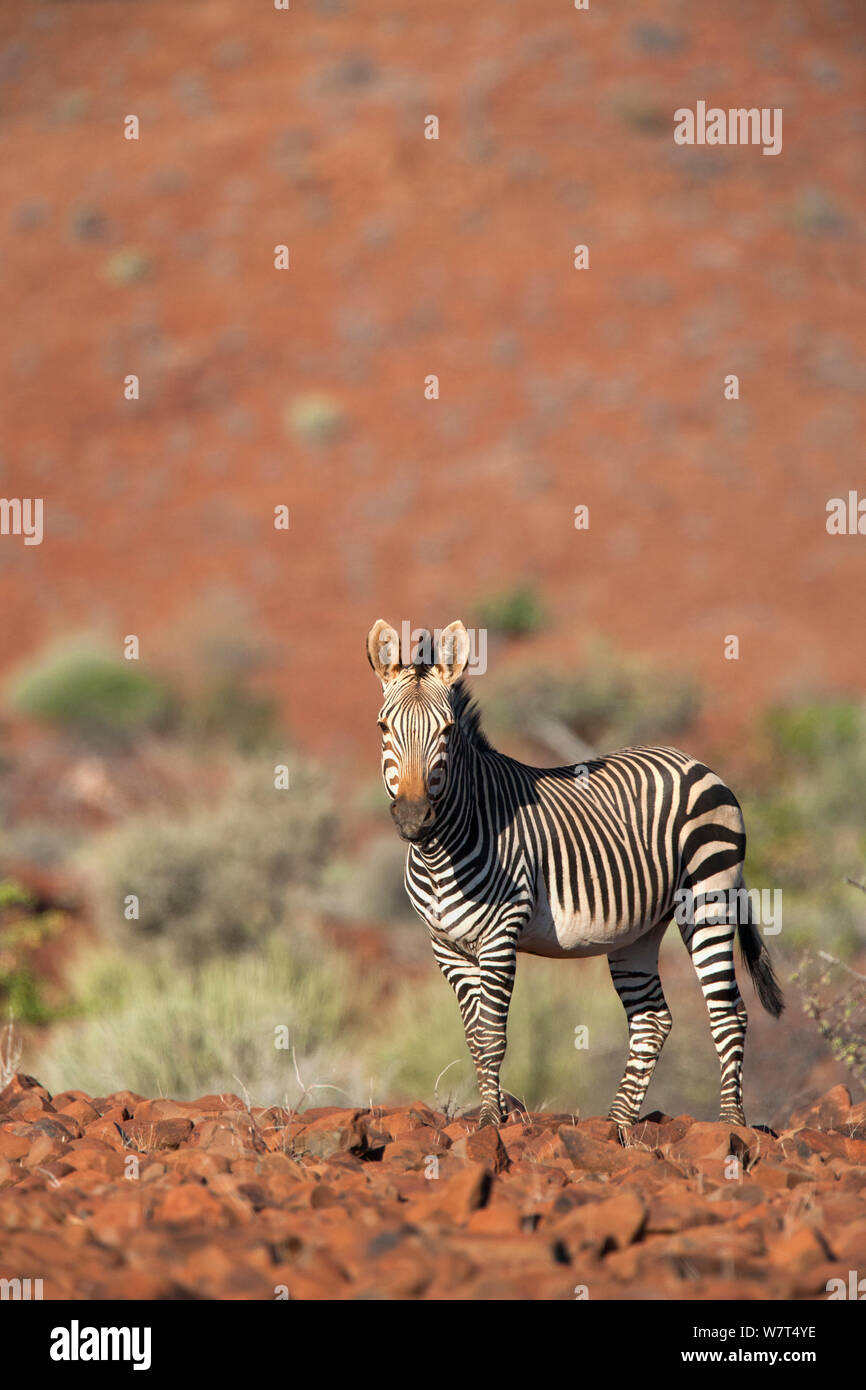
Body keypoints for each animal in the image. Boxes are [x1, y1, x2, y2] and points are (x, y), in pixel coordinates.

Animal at [366, 619, 783, 1128]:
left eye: (445, 731)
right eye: (384, 726)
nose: (413, 817)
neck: (439, 853)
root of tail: (693, 761)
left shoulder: (500, 936)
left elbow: (492, 1036)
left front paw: (490, 1121)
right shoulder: (445, 946)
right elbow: (474, 1039)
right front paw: (492, 1113)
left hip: (709, 898)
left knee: (729, 1013)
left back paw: (731, 1123)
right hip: (638, 928)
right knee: (652, 1020)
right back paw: (618, 1124)